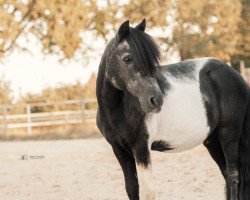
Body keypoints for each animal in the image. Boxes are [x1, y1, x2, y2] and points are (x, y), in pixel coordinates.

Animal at [95, 19, 250, 200]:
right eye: (127, 59)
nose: (156, 100)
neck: (116, 111)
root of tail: (236, 76)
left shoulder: (141, 148)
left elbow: (148, 192)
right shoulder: (120, 150)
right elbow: (132, 188)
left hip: (229, 136)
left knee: (233, 177)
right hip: (212, 140)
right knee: (226, 174)